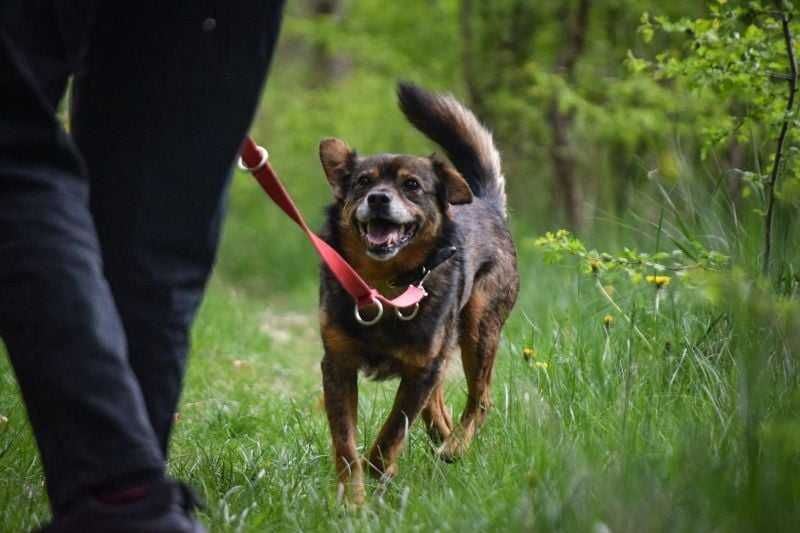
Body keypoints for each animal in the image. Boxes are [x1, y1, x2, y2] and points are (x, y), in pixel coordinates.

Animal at [316, 81, 516, 500]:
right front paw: (352, 501)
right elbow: (346, 445)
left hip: (478, 330)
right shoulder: (338, 367)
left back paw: (455, 445)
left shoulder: (421, 369)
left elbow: (391, 432)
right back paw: (444, 439)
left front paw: (380, 470)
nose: (378, 197)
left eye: (411, 186)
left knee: (481, 399)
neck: (381, 286)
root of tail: (487, 203)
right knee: (436, 406)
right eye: (363, 182)